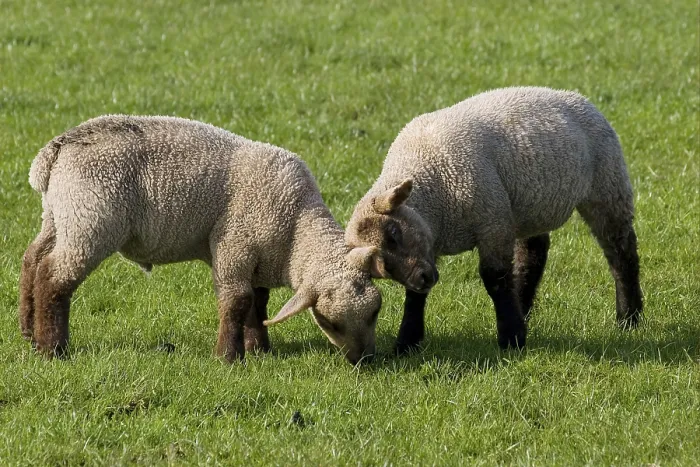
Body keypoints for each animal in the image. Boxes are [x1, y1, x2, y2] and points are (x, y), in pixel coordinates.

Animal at [19, 115, 382, 364]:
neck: (295, 231)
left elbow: (257, 302)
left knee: (32, 260)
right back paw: (53, 349)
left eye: (376, 312)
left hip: (59, 215)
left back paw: (28, 332)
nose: (364, 360)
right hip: (90, 220)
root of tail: (54, 151)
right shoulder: (235, 247)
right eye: (330, 323)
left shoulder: (256, 257)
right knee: (54, 278)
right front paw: (228, 357)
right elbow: (237, 302)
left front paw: (259, 349)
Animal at [345, 86, 643, 353]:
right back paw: (523, 307)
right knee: (533, 254)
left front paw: (511, 338)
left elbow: (495, 278)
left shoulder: (492, 223)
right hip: (527, 208)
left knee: (621, 253)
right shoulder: (429, 242)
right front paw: (406, 343)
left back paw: (629, 317)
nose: (422, 278)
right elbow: (415, 297)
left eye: (393, 232)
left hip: (607, 187)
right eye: (383, 267)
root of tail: (575, 96)